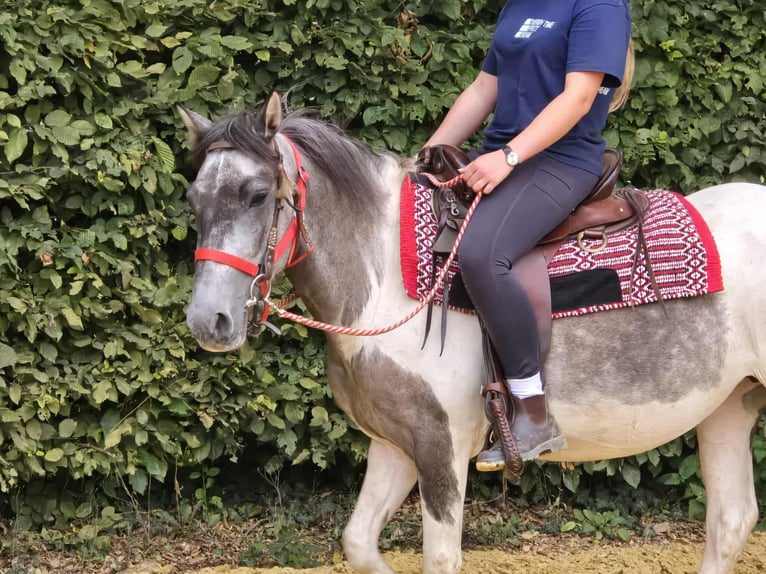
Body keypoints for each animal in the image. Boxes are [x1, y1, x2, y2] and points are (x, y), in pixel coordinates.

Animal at [180, 93, 766, 574]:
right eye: (194, 199)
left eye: (257, 195)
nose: (209, 321)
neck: (386, 278)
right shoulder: (395, 445)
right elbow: (358, 543)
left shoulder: (441, 447)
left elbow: (440, 558)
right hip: (729, 406)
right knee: (731, 521)